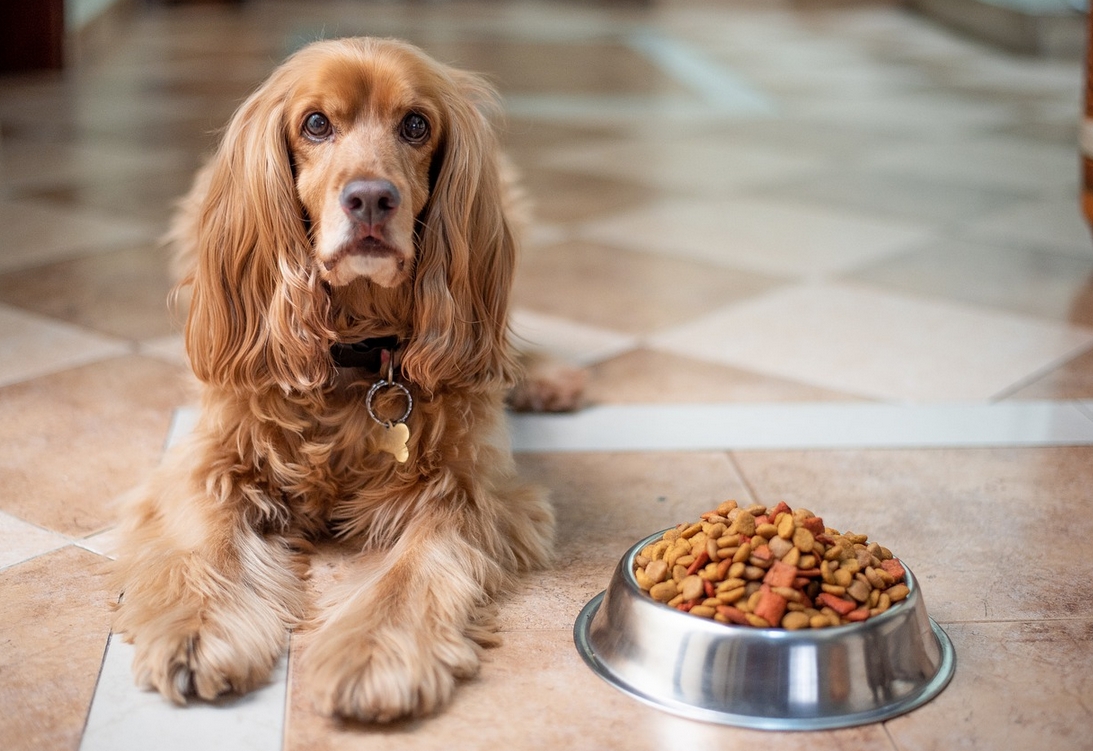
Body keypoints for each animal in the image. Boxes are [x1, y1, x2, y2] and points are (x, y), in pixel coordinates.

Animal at [110, 38, 559, 725]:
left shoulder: (469, 488)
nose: (371, 199)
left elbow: (414, 571)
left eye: (416, 125)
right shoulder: (210, 459)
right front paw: (197, 630)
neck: (356, 355)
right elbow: (206, 541)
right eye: (316, 124)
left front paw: (374, 654)